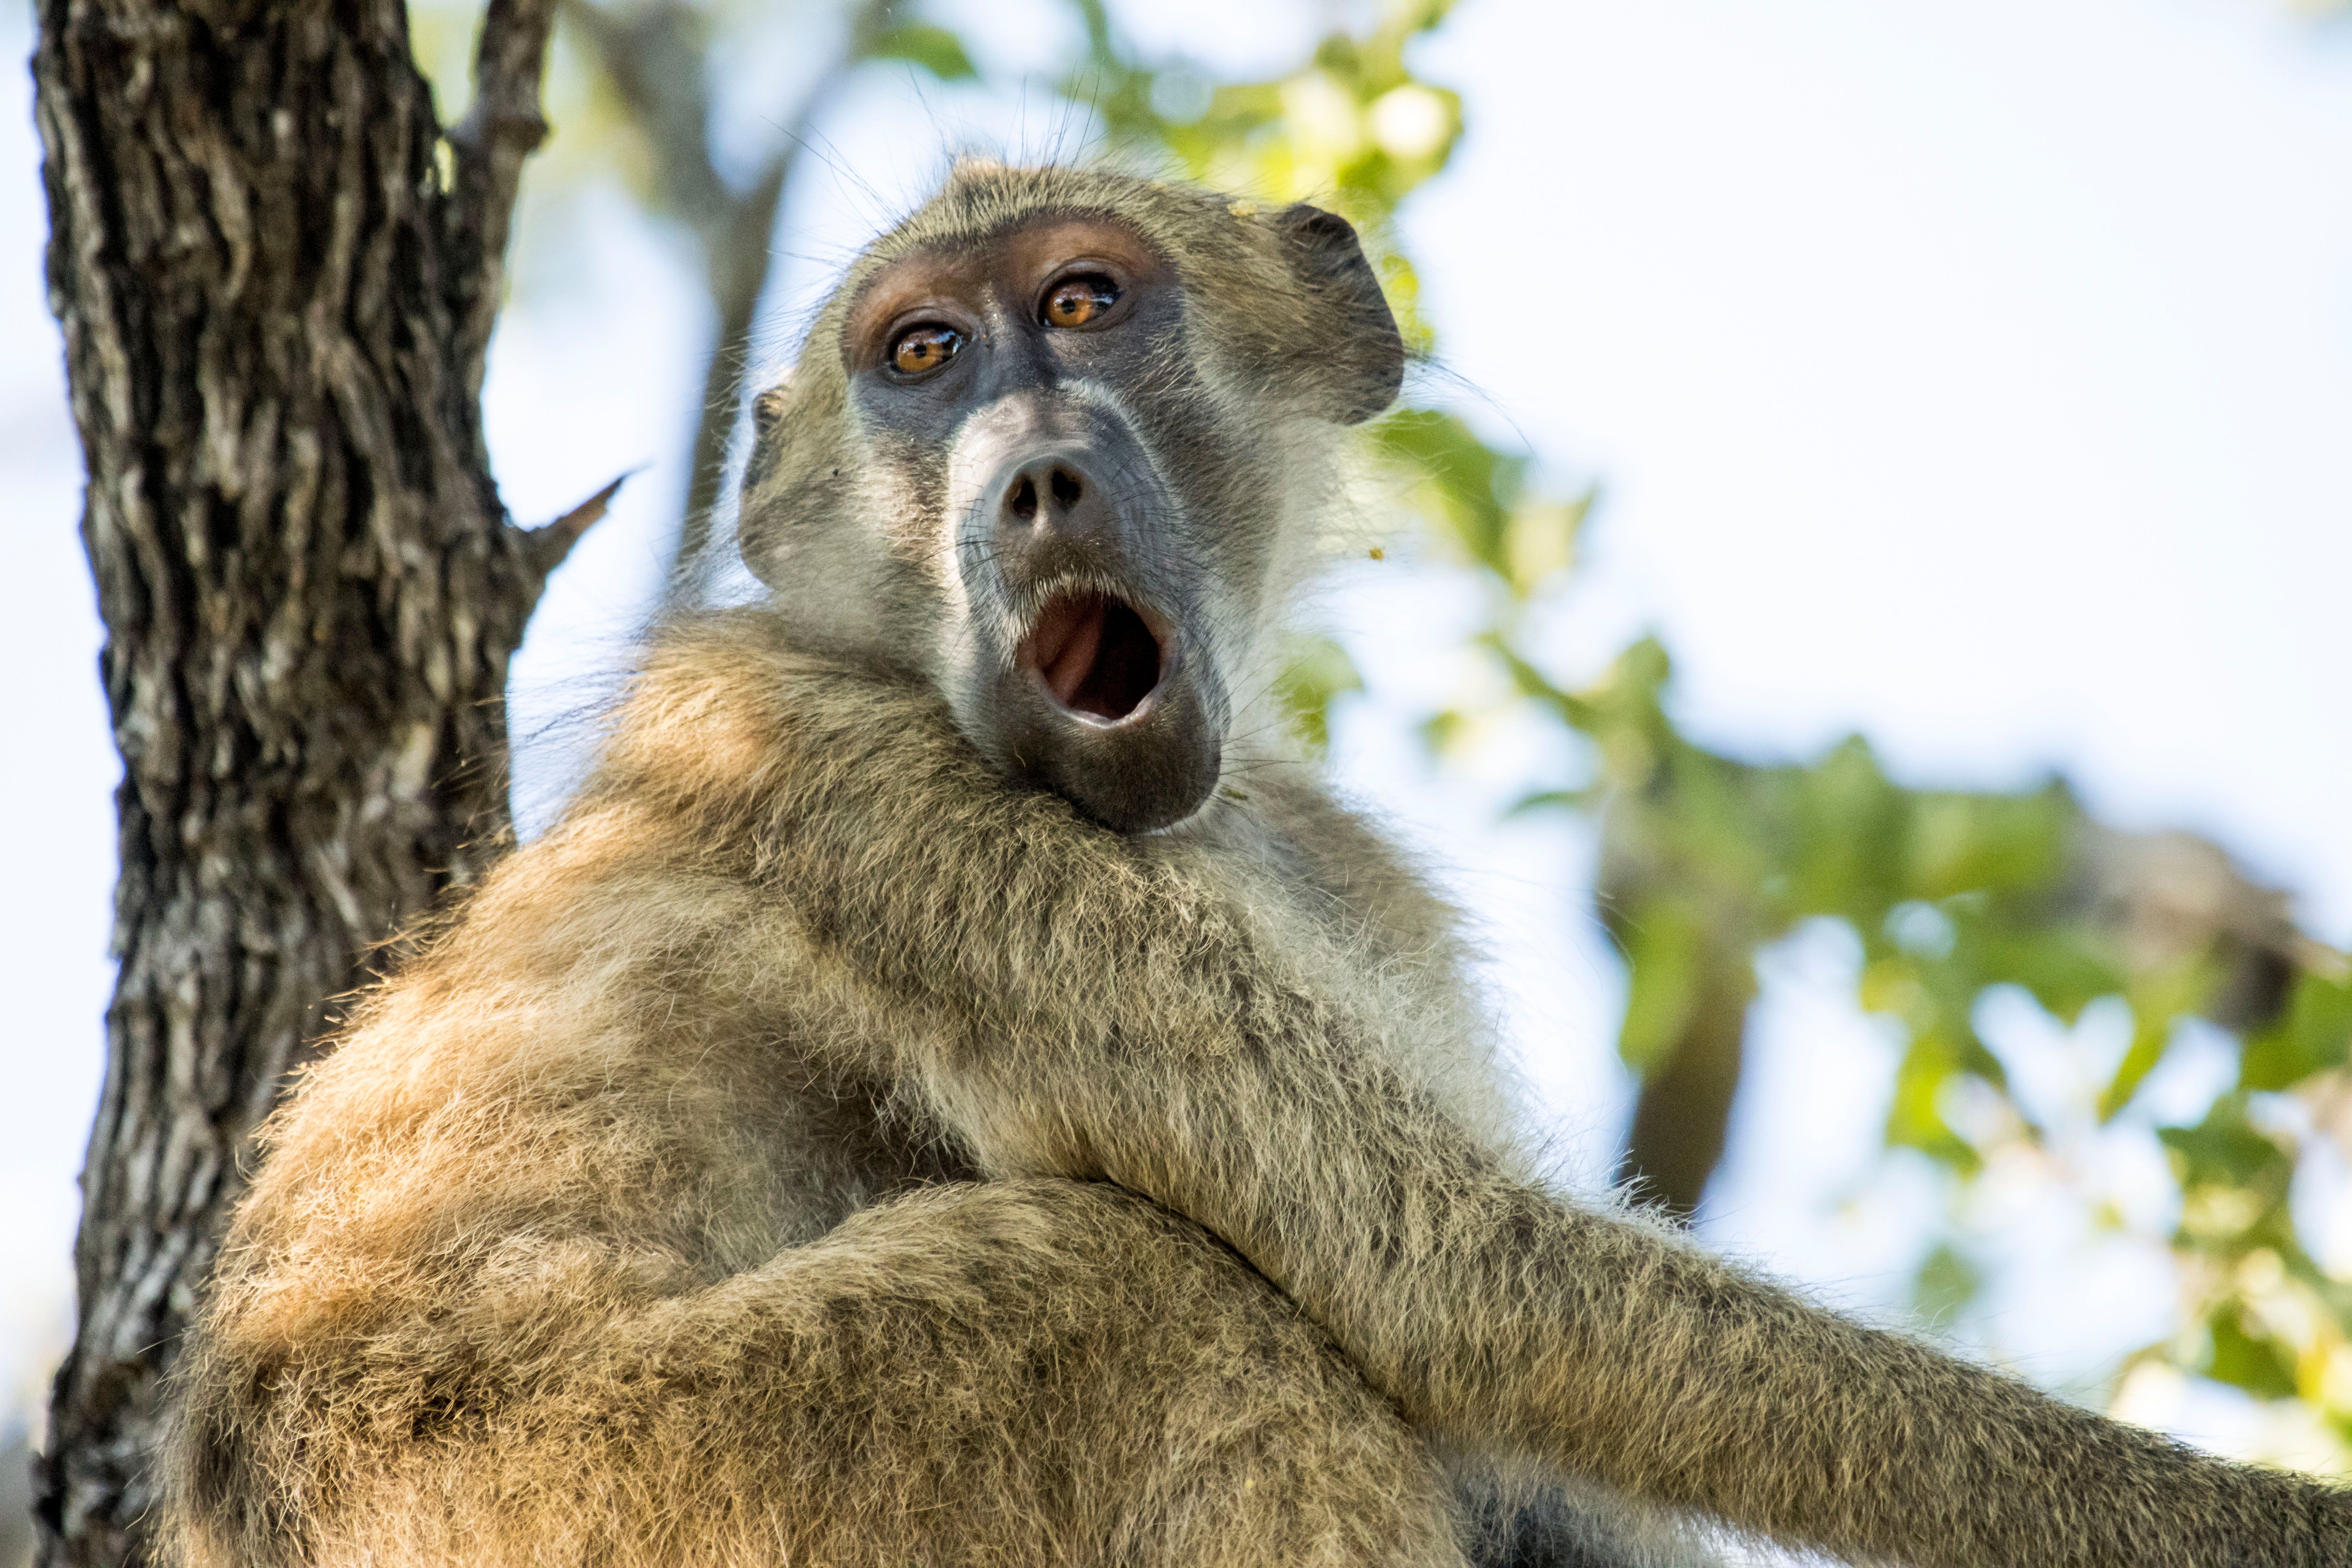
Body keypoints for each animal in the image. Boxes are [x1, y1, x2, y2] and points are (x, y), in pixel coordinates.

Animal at [163, 160, 2352, 1568]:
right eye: (920, 356)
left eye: (1081, 303)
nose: (1034, 474)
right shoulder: (883, 811)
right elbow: (1464, 1291)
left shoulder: (1329, 858)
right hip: (603, 1497)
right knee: (1141, 1292)